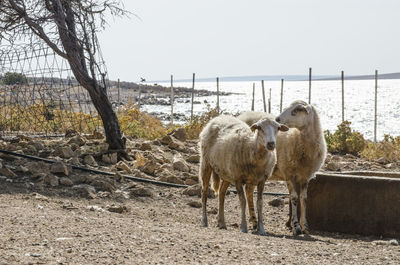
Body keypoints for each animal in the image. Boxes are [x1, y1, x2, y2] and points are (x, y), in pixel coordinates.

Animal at [276, 100, 328, 234]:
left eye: (295, 111)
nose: (277, 119)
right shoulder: (288, 173)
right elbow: (294, 198)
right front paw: (296, 226)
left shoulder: (305, 176)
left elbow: (303, 198)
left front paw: (304, 226)